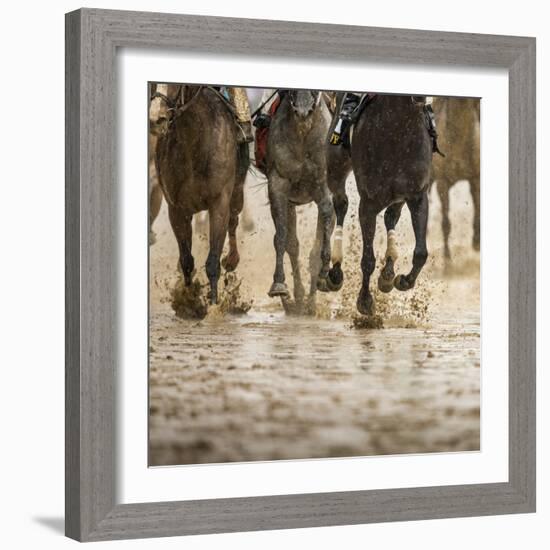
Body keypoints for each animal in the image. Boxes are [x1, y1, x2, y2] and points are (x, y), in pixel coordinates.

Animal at [155, 84, 250, 304]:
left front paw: (214, 304)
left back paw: (232, 259)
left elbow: (213, 261)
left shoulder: (219, 204)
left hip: (237, 193)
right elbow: (186, 260)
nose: (157, 117)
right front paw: (188, 298)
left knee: (234, 221)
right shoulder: (176, 209)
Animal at [268, 90, 336, 314]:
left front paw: (324, 273)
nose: (303, 110)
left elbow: (326, 219)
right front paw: (279, 284)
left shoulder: (324, 183)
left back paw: (311, 302)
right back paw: (296, 300)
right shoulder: (278, 184)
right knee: (292, 244)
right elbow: (282, 237)